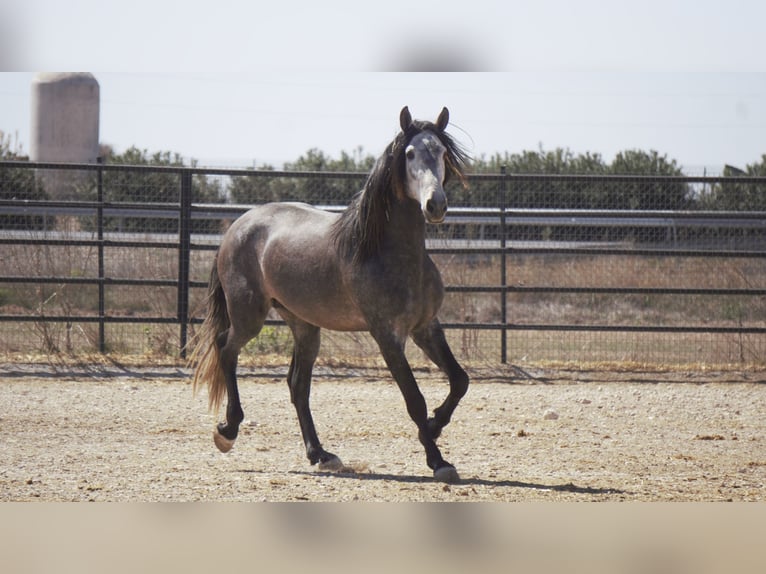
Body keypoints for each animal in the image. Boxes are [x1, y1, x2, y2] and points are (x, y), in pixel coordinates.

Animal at [190, 106, 474, 484]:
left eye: (441, 153)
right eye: (410, 154)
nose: (435, 205)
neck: (389, 252)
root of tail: (237, 228)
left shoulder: (426, 327)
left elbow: (460, 380)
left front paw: (435, 427)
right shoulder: (387, 336)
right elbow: (414, 399)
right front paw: (437, 460)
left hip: (304, 325)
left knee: (297, 385)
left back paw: (320, 455)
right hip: (248, 315)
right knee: (225, 348)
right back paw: (227, 431)